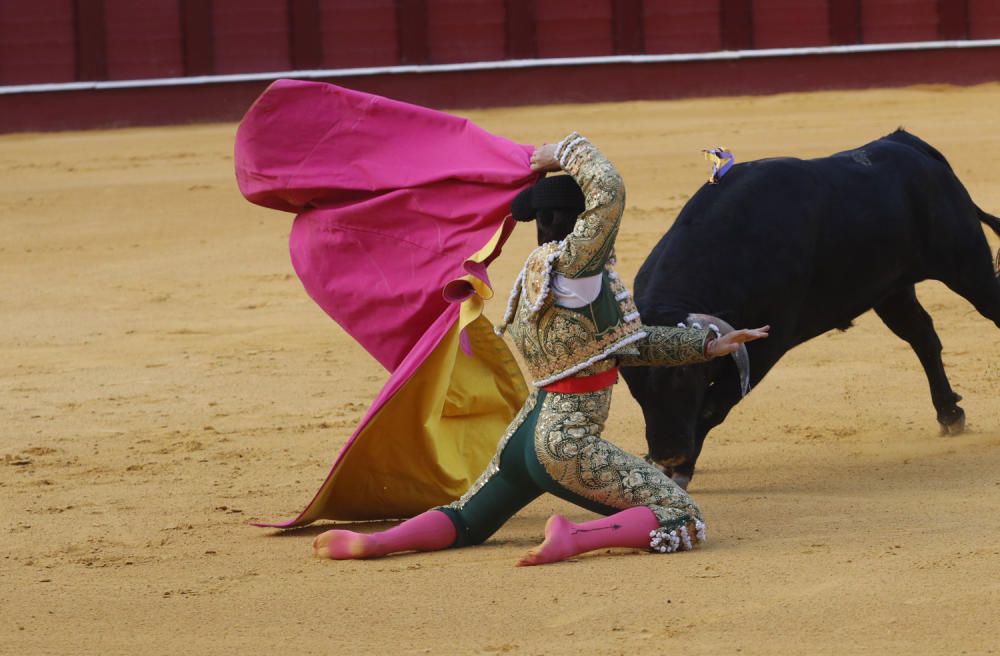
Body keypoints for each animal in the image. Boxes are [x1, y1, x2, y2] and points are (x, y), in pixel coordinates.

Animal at [620, 129, 1000, 486]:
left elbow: (714, 405)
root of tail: (909, 143)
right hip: (892, 291)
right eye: (632, 380)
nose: (667, 453)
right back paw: (949, 413)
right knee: (923, 338)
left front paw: (681, 470)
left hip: (967, 266)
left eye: (685, 373)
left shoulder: (767, 342)